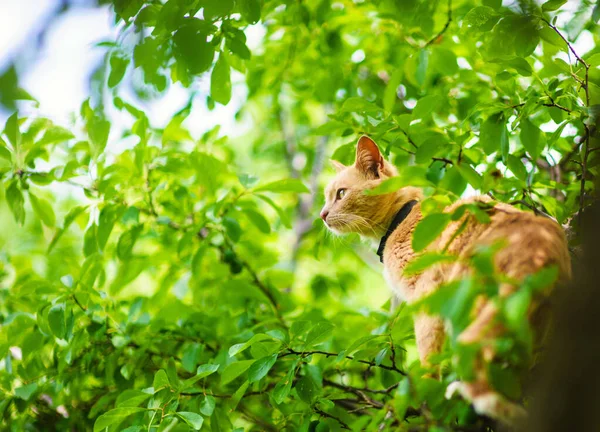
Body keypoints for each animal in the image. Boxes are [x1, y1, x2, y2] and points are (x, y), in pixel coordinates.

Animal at [322, 136, 568, 426]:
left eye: (340, 194)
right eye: (327, 197)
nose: (322, 215)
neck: (400, 219)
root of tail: (541, 247)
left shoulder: (427, 295)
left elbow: (429, 357)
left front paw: (427, 392)